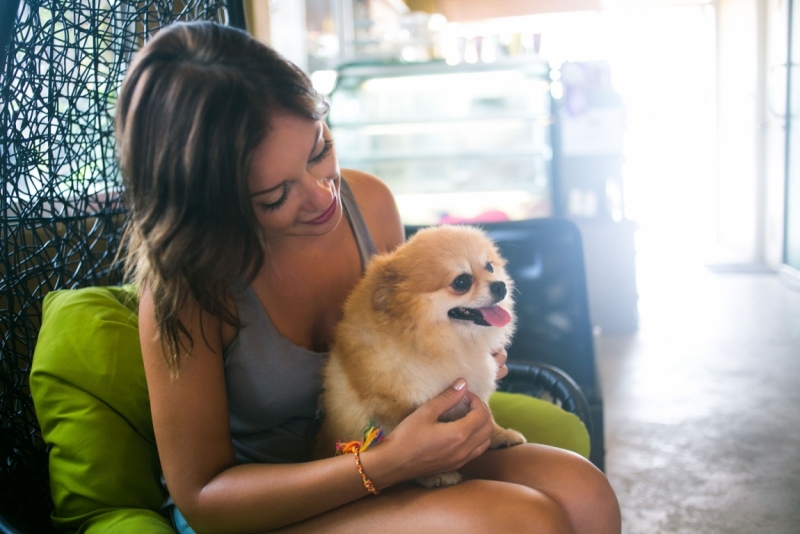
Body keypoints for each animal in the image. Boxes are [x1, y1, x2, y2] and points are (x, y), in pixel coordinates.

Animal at [316, 226, 528, 490]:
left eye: (489, 266)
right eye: (461, 282)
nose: (500, 286)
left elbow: (486, 414)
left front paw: (500, 434)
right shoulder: (394, 406)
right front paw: (435, 473)